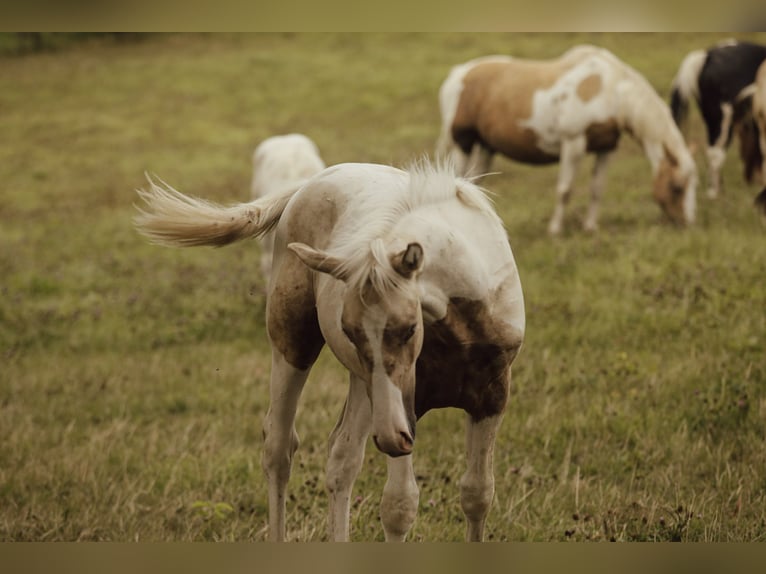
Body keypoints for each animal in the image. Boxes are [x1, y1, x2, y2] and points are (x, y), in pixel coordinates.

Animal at [134, 160, 526, 542]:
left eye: (411, 329)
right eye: (349, 331)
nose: (390, 437)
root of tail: (312, 182)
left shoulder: (491, 395)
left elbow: (477, 494)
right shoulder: (405, 406)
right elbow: (399, 505)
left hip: (363, 386)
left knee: (342, 458)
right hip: (295, 347)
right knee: (279, 448)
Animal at [437, 45, 697, 235]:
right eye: (676, 187)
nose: (686, 223)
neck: (610, 90)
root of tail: (458, 73)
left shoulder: (606, 148)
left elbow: (597, 188)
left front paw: (590, 227)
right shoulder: (573, 143)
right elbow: (565, 189)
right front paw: (555, 230)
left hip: (486, 147)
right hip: (463, 143)